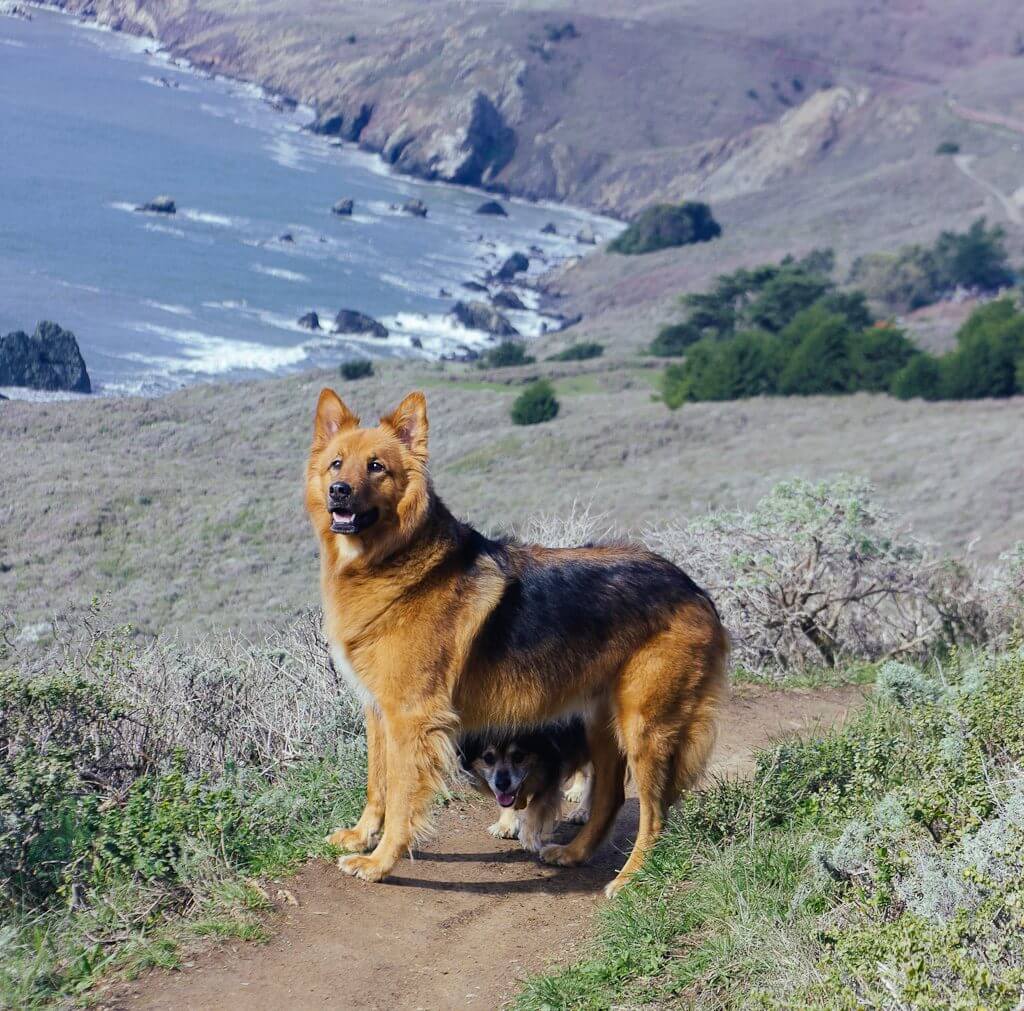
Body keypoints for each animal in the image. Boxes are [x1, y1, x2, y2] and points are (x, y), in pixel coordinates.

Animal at [458, 721, 593, 852]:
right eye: (488, 758)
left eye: (519, 757)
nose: (501, 784)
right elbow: (507, 799)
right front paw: (505, 824)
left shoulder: (553, 768)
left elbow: (536, 805)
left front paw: (529, 838)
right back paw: (576, 790)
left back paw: (582, 811)